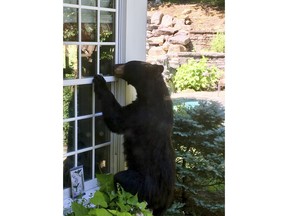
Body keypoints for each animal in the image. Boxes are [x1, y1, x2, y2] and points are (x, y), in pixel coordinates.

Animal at [93, 60, 174, 215]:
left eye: (128, 64)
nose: (113, 65)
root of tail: (162, 199)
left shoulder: (141, 114)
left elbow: (117, 119)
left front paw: (100, 81)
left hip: (142, 185)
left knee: (122, 180)